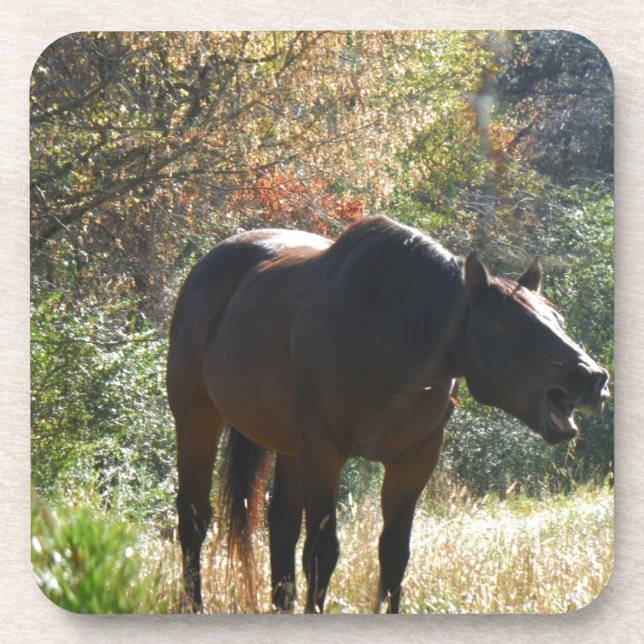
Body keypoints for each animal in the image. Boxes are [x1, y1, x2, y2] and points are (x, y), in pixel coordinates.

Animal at [166, 214, 609, 614]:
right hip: (197, 419)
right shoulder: (323, 453)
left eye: (558, 319)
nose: (592, 378)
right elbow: (322, 552)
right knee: (194, 519)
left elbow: (395, 554)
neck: (385, 332)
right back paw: (194, 605)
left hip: (289, 447)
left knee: (281, 525)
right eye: (505, 322)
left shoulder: (415, 460)